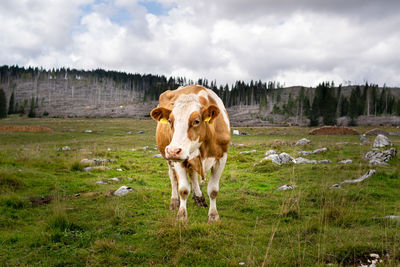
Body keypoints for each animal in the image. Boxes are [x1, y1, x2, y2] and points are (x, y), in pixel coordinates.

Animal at [151, 85, 231, 222]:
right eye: (170, 121)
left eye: (196, 121)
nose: (172, 150)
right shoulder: (179, 160)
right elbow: (183, 189)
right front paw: (181, 215)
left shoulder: (221, 158)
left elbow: (213, 190)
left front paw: (213, 216)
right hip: (169, 158)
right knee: (173, 177)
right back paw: (174, 201)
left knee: (193, 175)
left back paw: (199, 198)